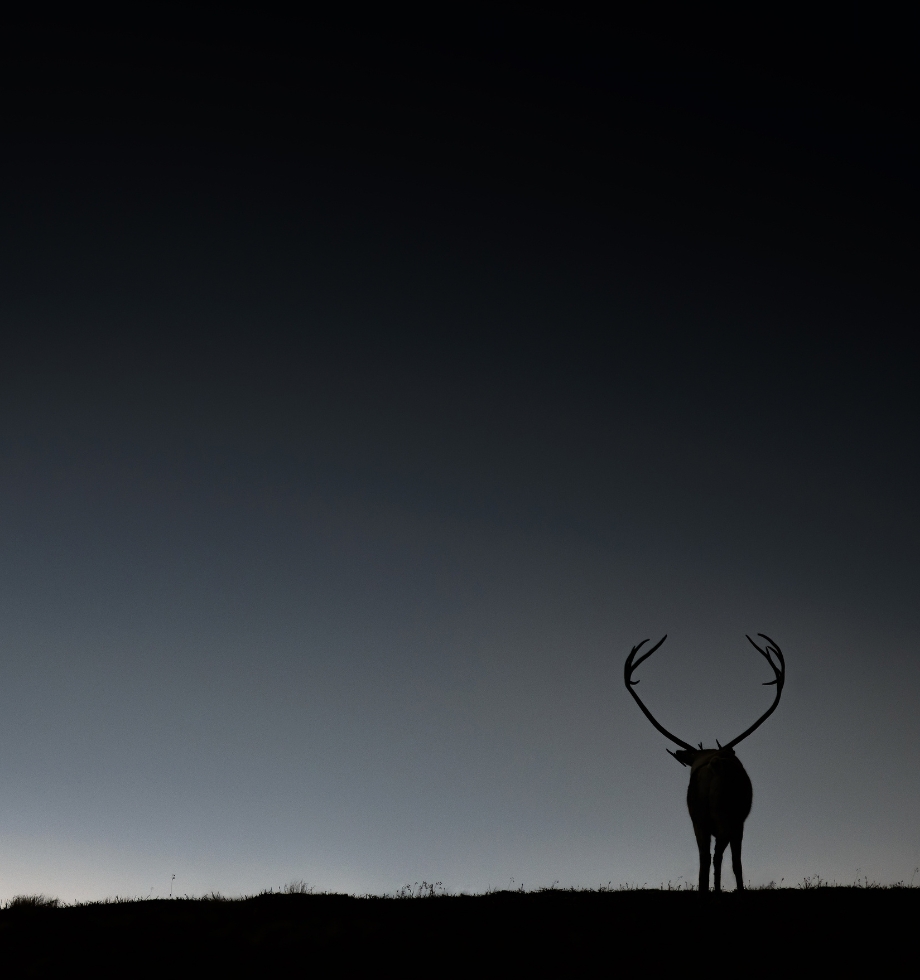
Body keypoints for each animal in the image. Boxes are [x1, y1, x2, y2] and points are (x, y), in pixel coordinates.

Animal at [623, 633, 785, 893]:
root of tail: (714, 764)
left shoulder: (700, 822)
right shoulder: (740, 823)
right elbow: (737, 862)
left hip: (698, 818)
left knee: (704, 857)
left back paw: (705, 888)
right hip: (724, 816)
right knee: (718, 855)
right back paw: (718, 888)